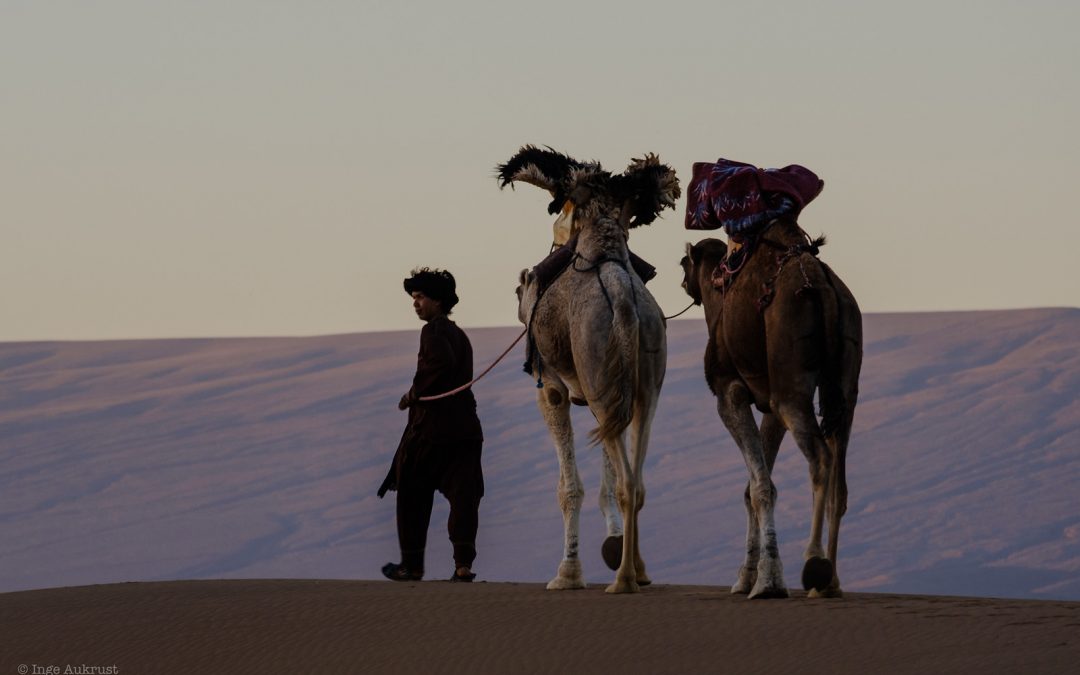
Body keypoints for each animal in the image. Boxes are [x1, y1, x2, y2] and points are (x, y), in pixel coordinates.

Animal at [682, 157, 859, 596]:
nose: (682, 280)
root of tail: (825, 290)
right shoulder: (768, 404)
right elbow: (753, 487)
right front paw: (749, 576)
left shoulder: (730, 392)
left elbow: (761, 487)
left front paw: (764, 581)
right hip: (844, 384)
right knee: (841, 479)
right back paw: (830, 583)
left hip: (792, 386)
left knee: (821, 459)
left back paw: (813, 565)